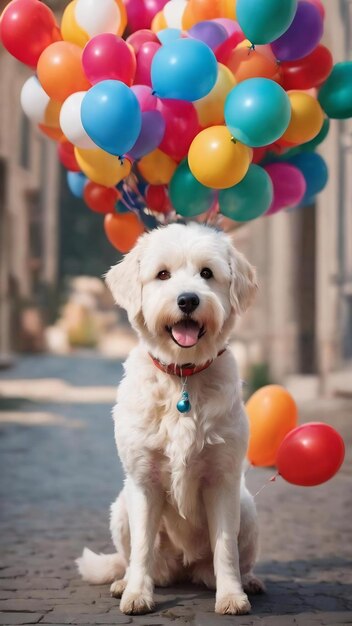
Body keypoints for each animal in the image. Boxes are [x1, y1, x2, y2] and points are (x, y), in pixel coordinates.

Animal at [77, 222, 264, 612]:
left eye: (207, 273)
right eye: (162, 274)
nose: (188, 300)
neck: (182, 376)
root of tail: (185, 568)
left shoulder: (223, 479)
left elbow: (226, 548)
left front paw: (231, 596)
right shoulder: (143, 482)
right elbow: (142, 549)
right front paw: (137, 593)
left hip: (248, 508)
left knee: (239, 558)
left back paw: (248, 581)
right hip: (120, 508)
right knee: (135, 559)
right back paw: (125, 581)